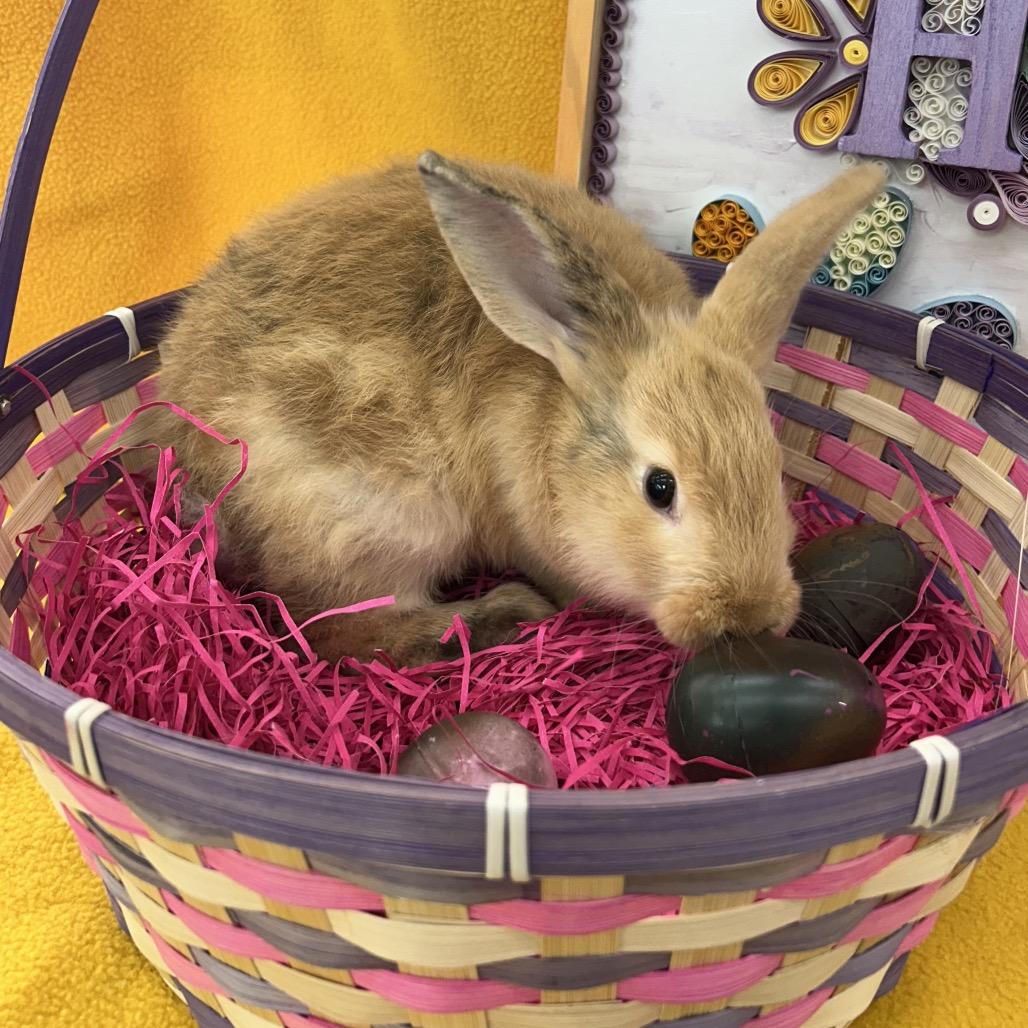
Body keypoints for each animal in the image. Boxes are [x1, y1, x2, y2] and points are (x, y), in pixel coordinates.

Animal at [156, 152, 885, 666]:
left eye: (774, 467)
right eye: (660, 487)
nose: (747, 616)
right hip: (382, 518)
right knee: (343, 629)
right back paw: (503, 614)